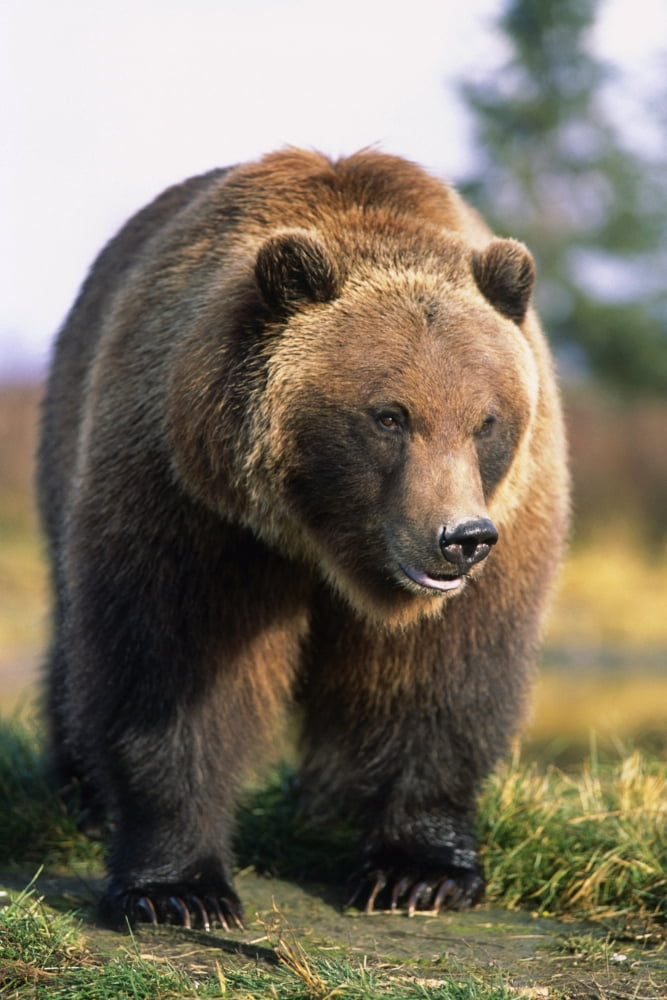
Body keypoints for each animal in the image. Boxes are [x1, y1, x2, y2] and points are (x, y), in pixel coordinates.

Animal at [37, 148, 569, 931]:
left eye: (487, 420)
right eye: (389, 415)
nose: (461, 538)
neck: (325, 537)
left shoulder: (511, 517)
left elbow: (443, 675)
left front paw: (418, 873)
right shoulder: (193, 507)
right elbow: (169, 668)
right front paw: (177, 889)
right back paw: (80, 794)